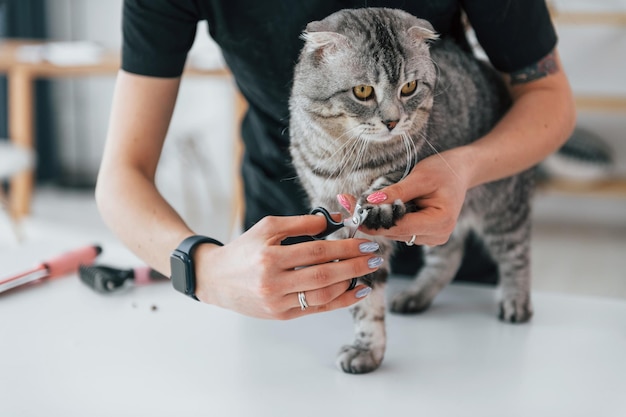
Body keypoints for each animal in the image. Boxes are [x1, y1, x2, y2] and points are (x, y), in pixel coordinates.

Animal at [288, 7, 532, 374]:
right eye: (363, 91)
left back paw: (516, 301)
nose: (392, 121)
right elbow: (365, 297)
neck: (343, 155)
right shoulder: (335, 216)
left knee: (516, 253)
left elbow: (386, 188)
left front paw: (378, 204)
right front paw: (367, 347)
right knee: (448, 255)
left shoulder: (407, 169)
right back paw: (417, 295)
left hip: (504, 206)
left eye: (410, 87)